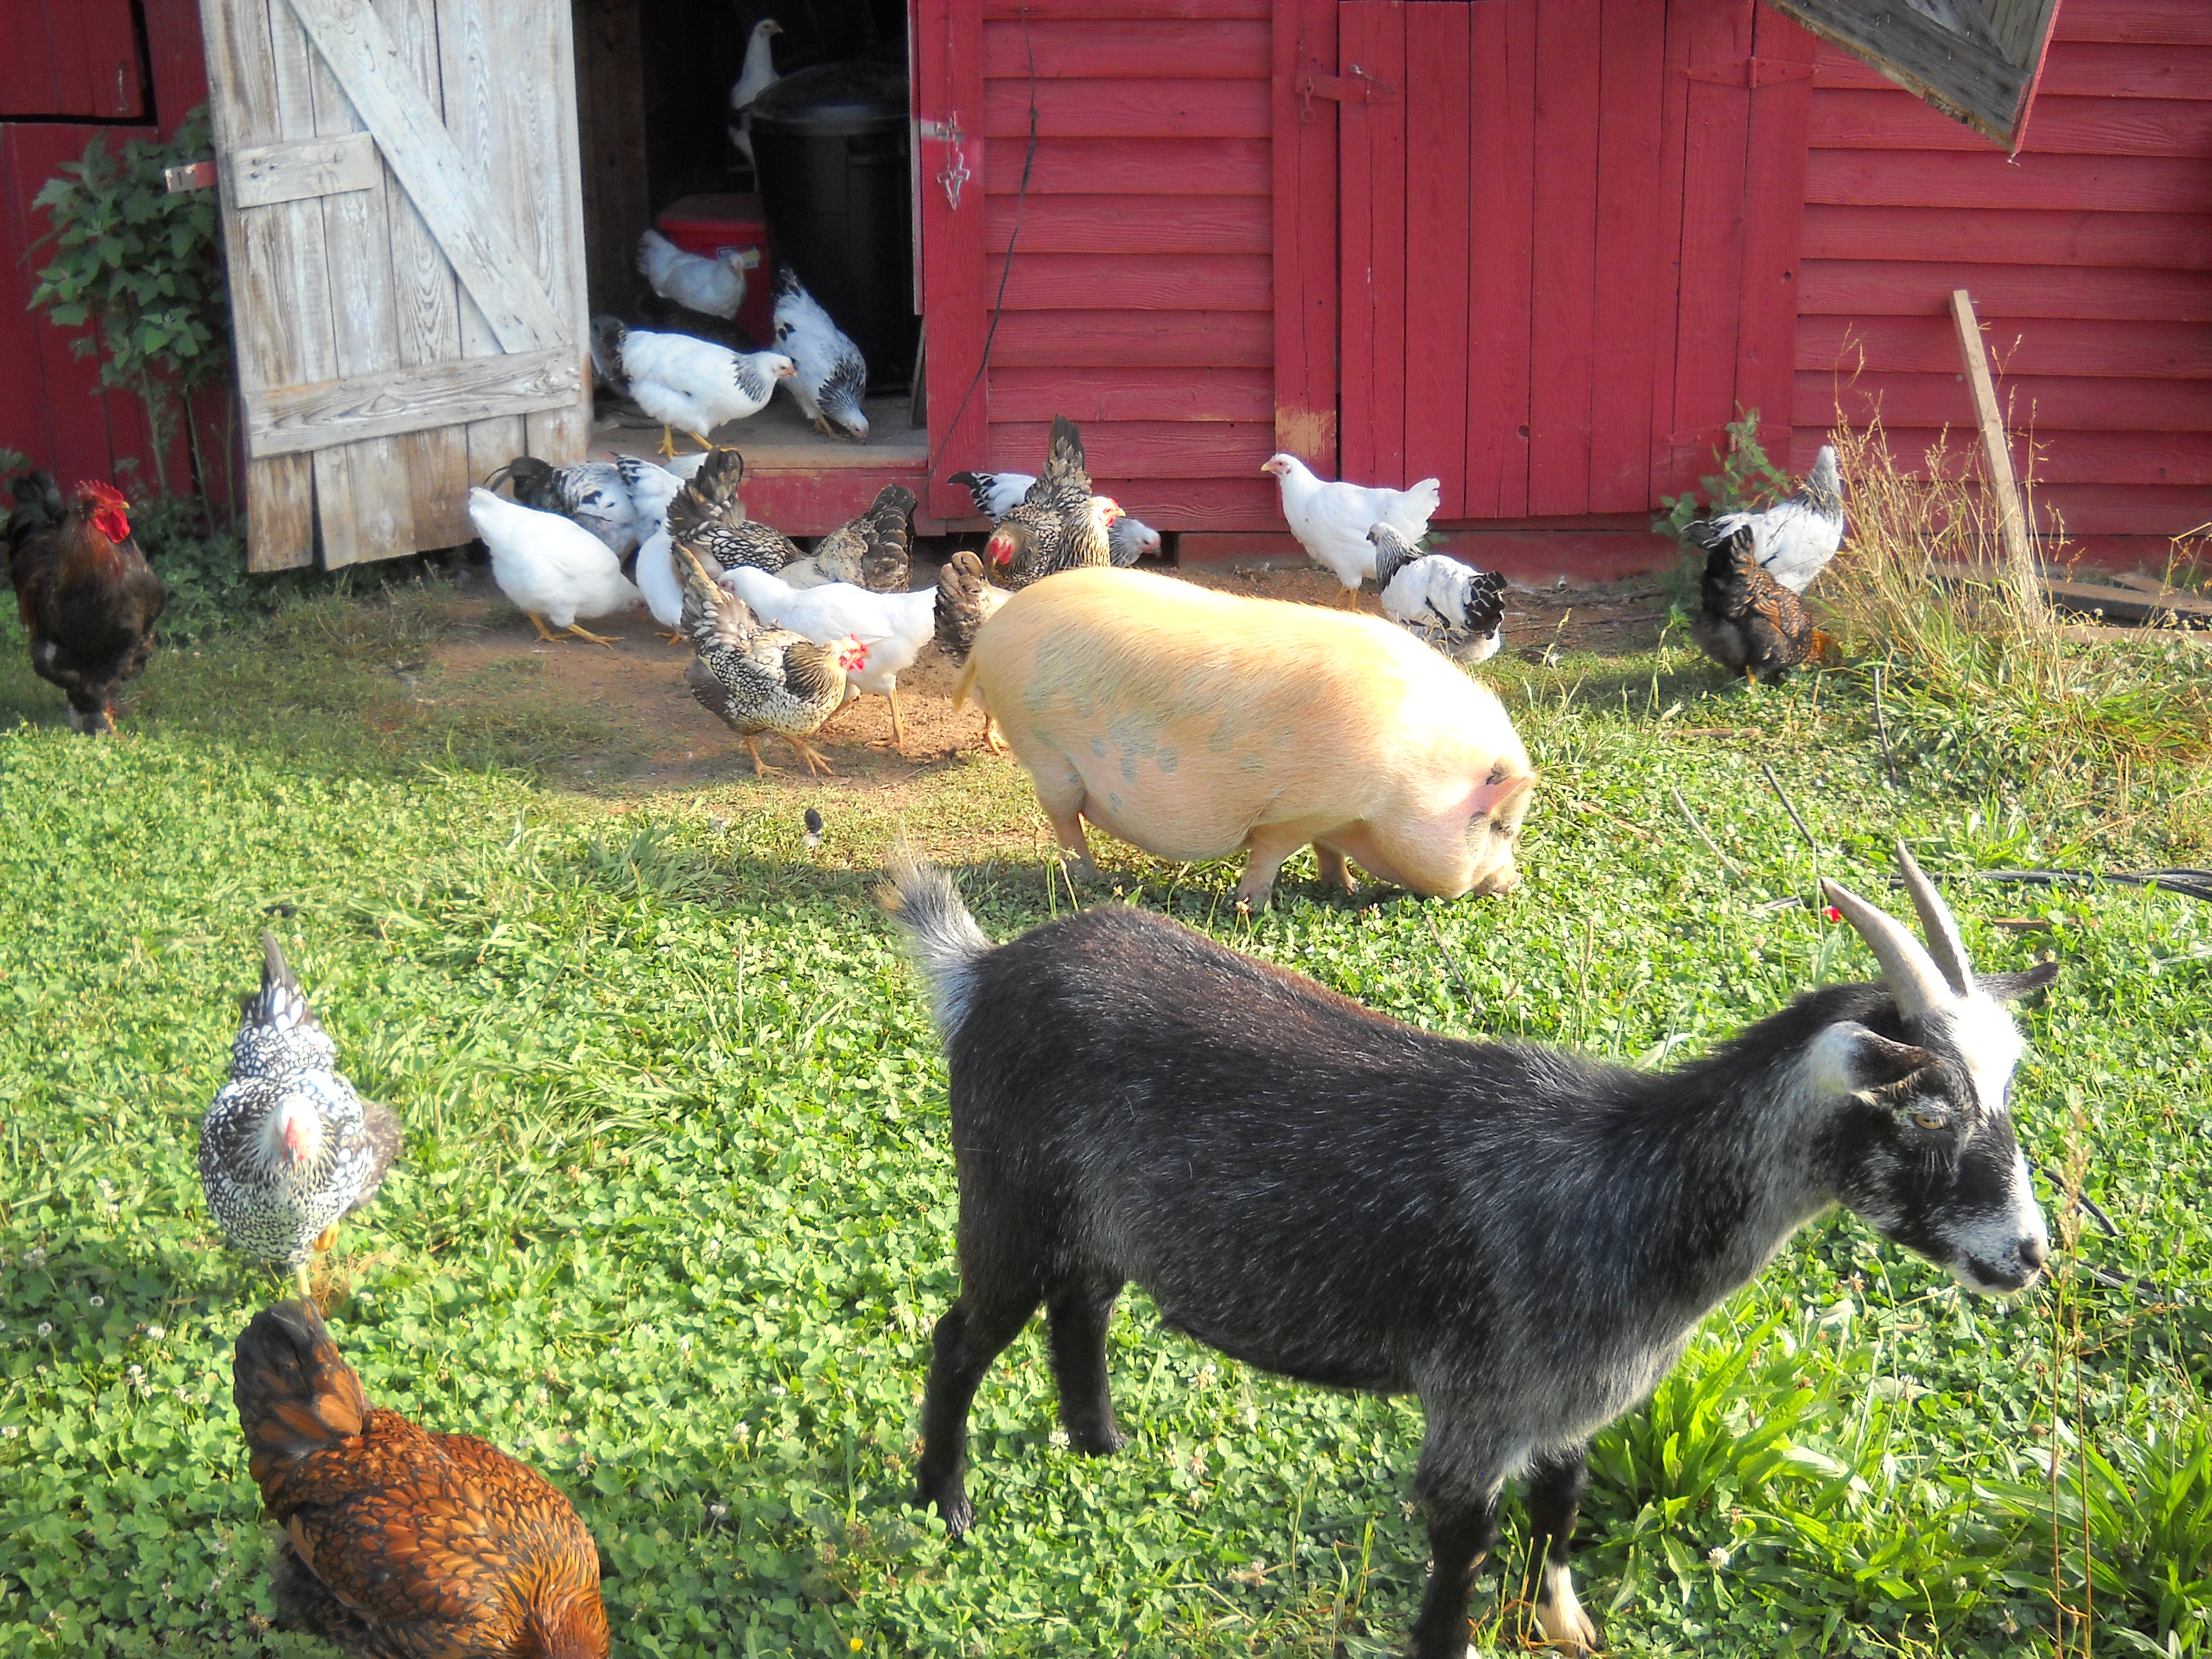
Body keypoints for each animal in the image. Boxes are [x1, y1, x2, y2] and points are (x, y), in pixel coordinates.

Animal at [879, 845, 2055, 1659]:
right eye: (1928, 1113)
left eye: (2007, 1090)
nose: (2030, 1254)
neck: (1626, 1184)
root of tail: (982, 972)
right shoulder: (1477, 1408)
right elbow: (1459, 1561)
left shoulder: (1566, 1409)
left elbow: (1562, 1509)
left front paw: (1567, 1625)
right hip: (1007, 1204)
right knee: (960, 1336)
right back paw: (945, 1502)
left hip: (1096, 1223)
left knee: (1082, 1308)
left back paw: (1101, 1444)